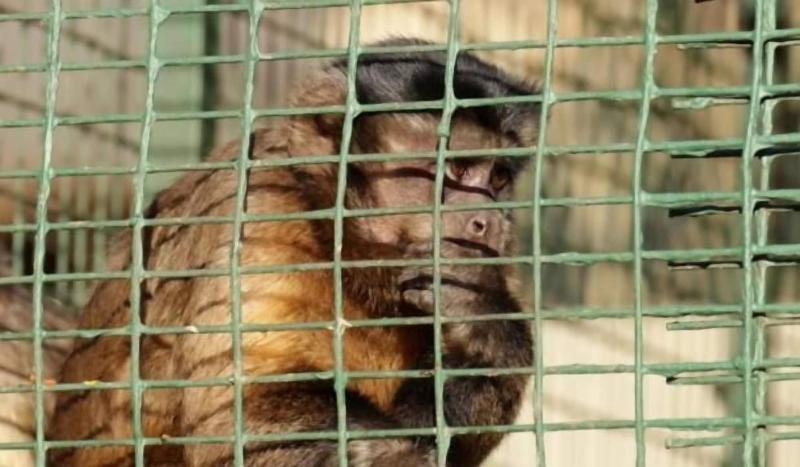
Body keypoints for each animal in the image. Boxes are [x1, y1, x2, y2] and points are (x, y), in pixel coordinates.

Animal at [46, 37, 537, 467]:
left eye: (498, 178)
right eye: (458, 169)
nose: (489, 220)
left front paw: (482, 321)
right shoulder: (263, 209)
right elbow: (240, 412)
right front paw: (392, 456)